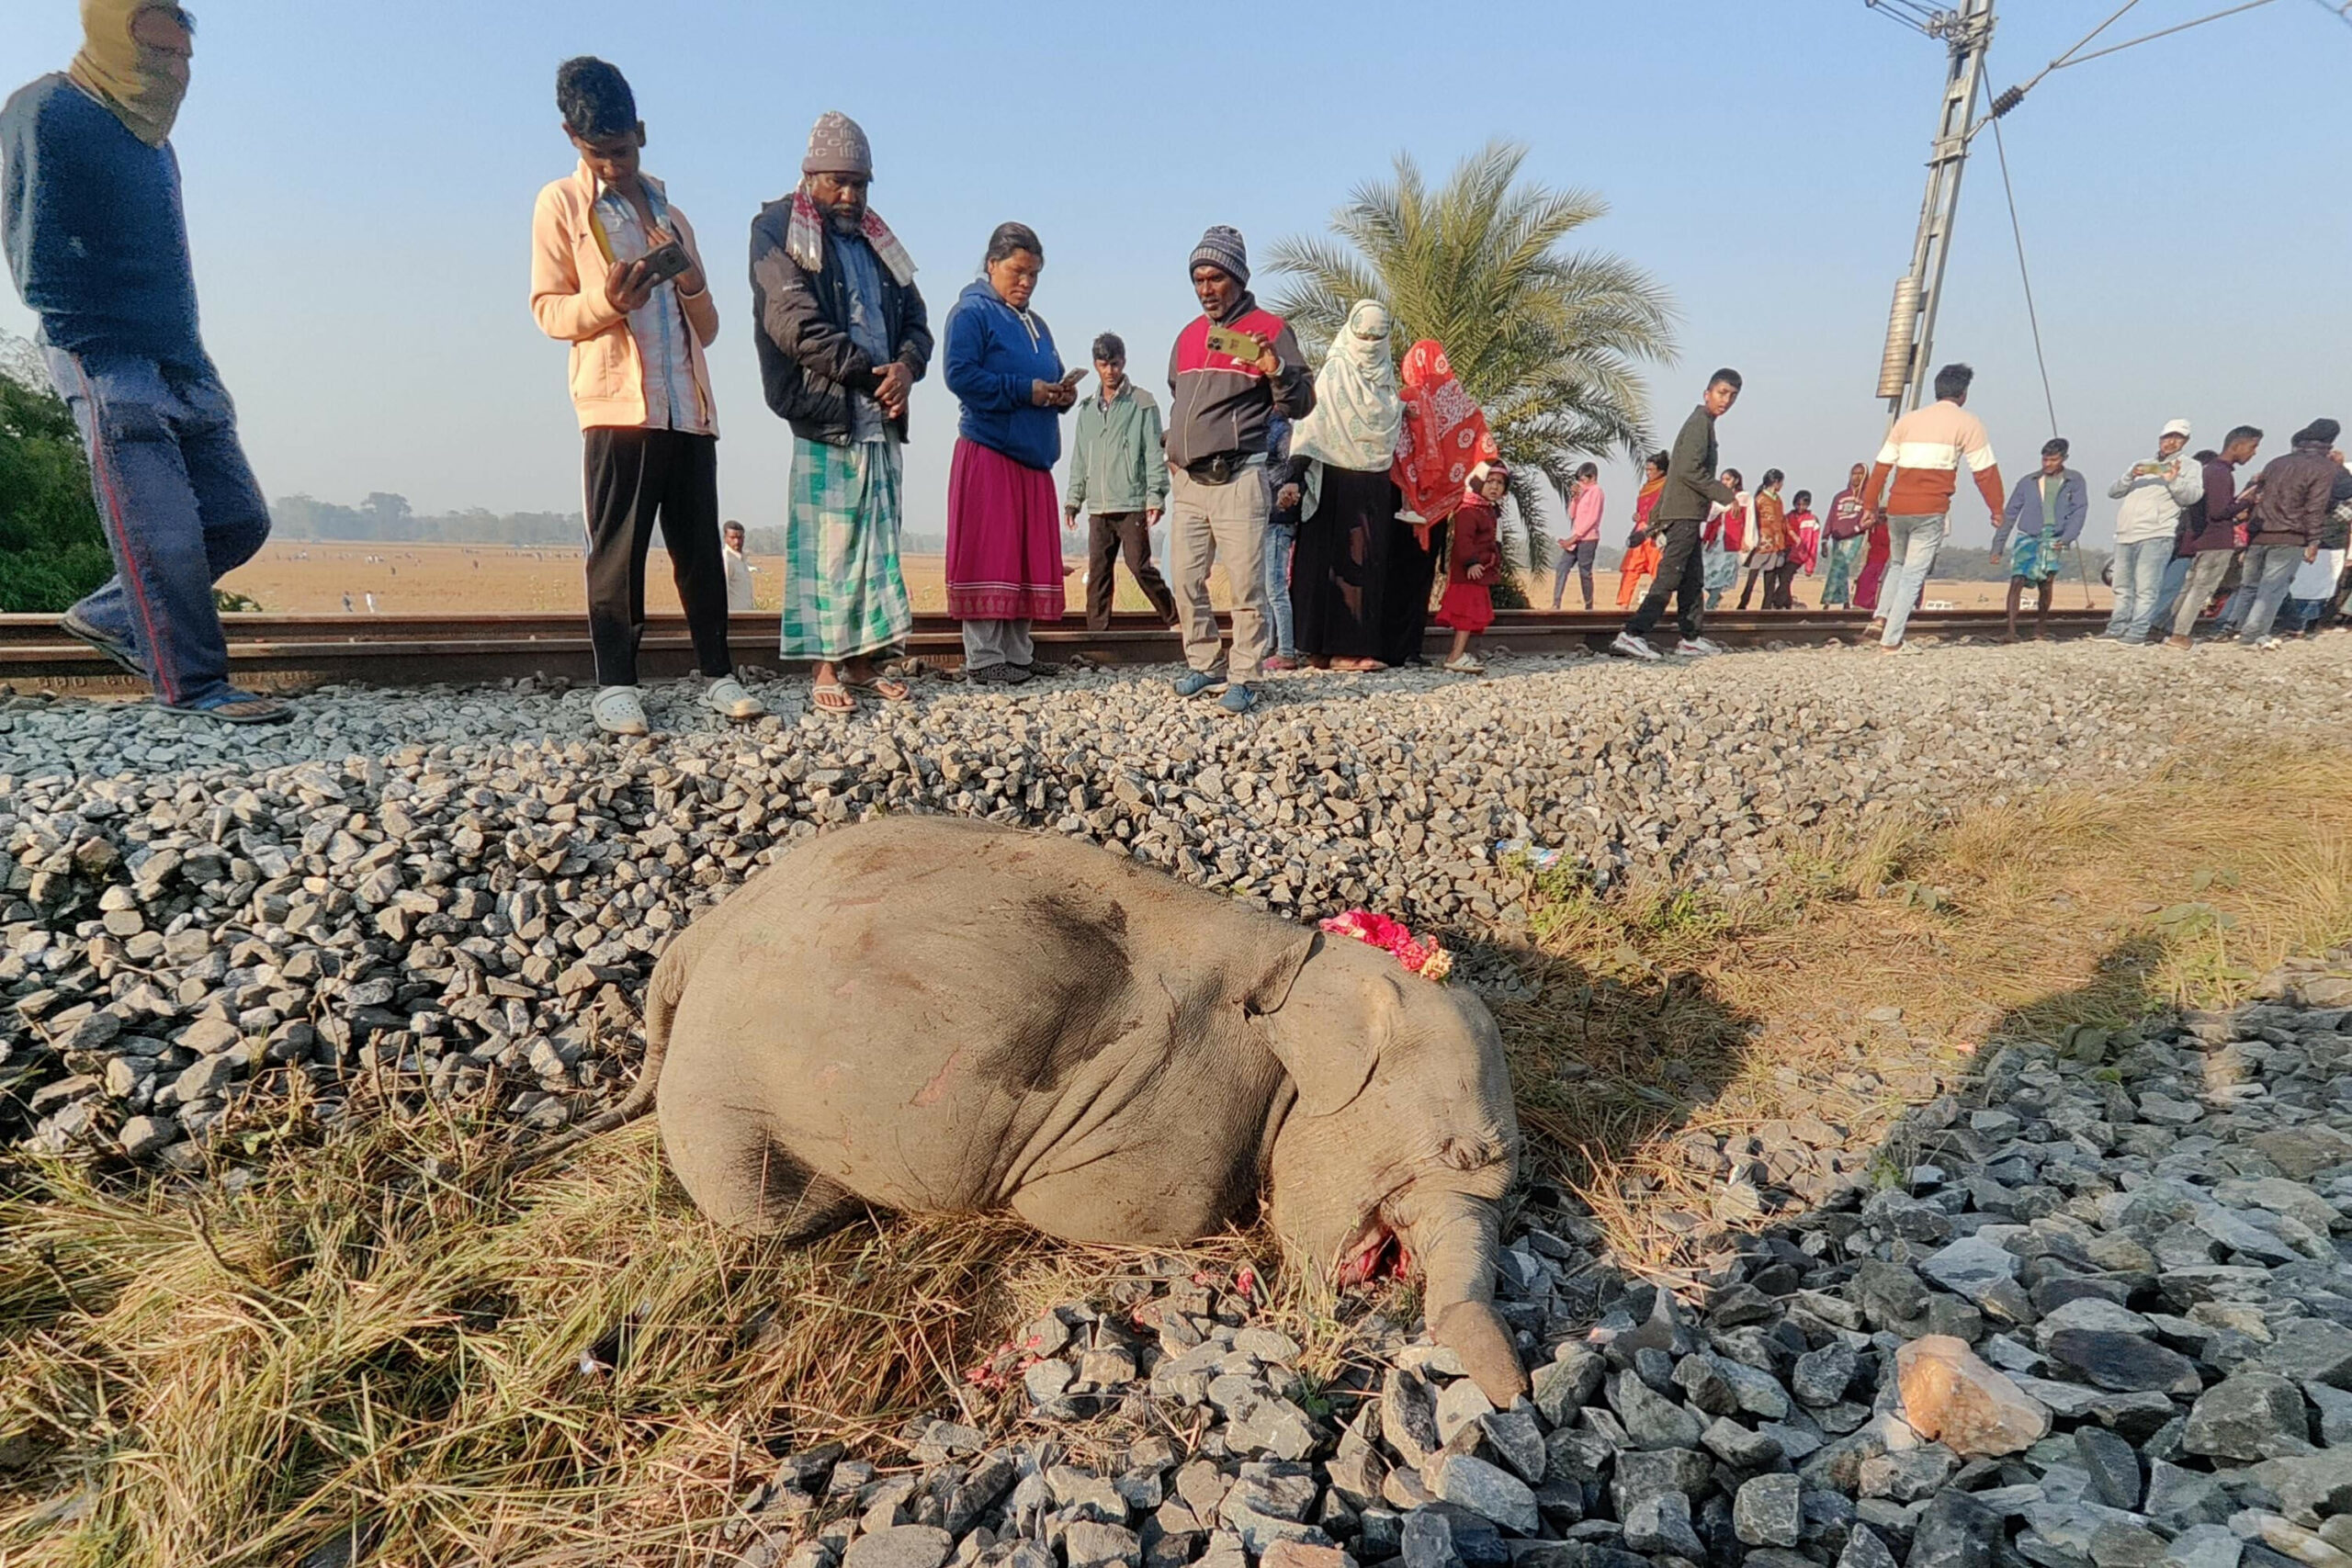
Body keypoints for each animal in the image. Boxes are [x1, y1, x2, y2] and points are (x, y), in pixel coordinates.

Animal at [579, 814, 1528, 1404]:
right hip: (719, 1084)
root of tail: (690, 943)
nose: (1517, 1396)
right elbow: (1112, 1208)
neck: (1305, 961)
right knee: (771, 1205)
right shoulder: (1176, 1111)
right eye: (1459, 1152)